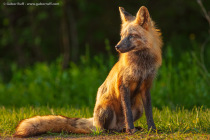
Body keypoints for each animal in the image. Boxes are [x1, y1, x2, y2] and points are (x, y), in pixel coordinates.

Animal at [13, 6, 162, 137]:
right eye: (121, 36)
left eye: (131, 36)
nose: (117, 46)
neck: (142, 65)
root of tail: (94, 121)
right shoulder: (123, 85)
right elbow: (128, 114)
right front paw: (131, 130)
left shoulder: (146, 87)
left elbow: (149, 113)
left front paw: (152, 129)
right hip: (106, 108)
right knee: (104, 129)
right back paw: (117, 131)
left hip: (138, 108)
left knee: (119, 125)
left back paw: (127, 129)